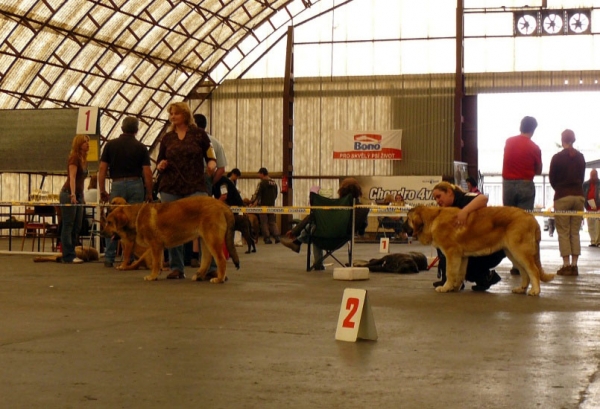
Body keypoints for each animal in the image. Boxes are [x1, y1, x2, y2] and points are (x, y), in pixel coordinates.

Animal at [101, 194, 239, 280]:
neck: (136, 217)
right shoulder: (159, 248)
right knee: (206, 259)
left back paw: (219, 279)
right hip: (205, 240)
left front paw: (152, 276)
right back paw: (199, 276)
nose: (101, 233)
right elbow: (159, 262)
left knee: (220, 260)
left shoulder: (155, 245)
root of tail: (222, 205)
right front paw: (157, 274)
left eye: (109, 222)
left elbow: (156, 263)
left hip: (212, 240)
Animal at [408, 206, 552, 294]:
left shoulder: (451, 254)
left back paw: (535, 291)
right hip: (512, 253)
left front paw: (445, 287)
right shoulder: (461, 257)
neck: (433, 219)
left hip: (520, 252)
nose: (403, 227)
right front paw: (455, 287)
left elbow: (450, 272)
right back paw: (521, 289)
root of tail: (531, 217)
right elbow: (460, 273)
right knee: (525, 272)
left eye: (408, 219)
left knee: (533, 270)